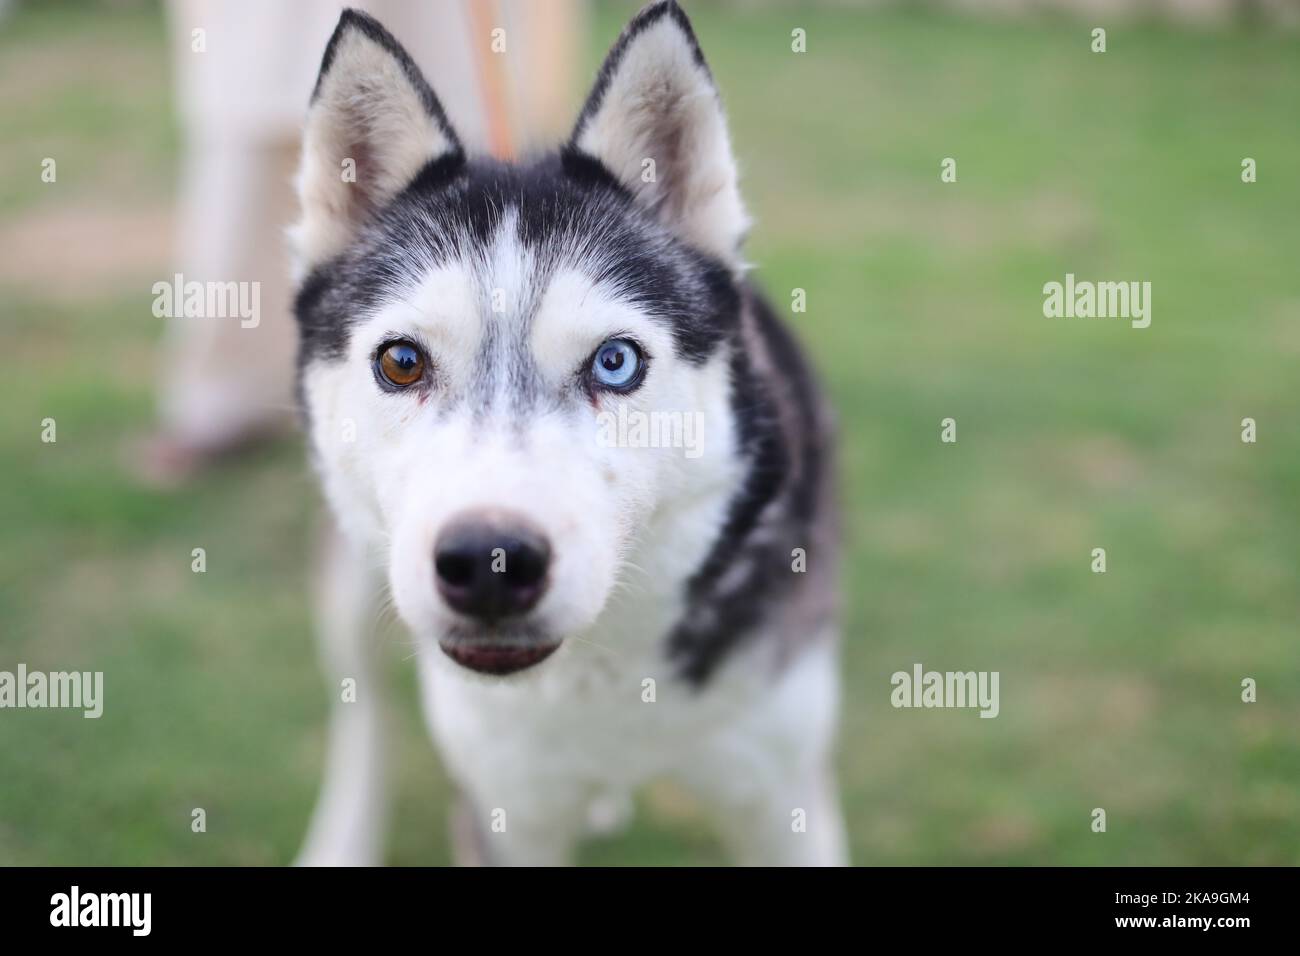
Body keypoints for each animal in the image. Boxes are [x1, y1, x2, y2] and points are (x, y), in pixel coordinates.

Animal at [292, 0, 842, 868]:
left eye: (615, 362)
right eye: (403, 362)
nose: (488, 563)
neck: (604, 674)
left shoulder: (781, 795)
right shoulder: (505, 812)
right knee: (362, 710)